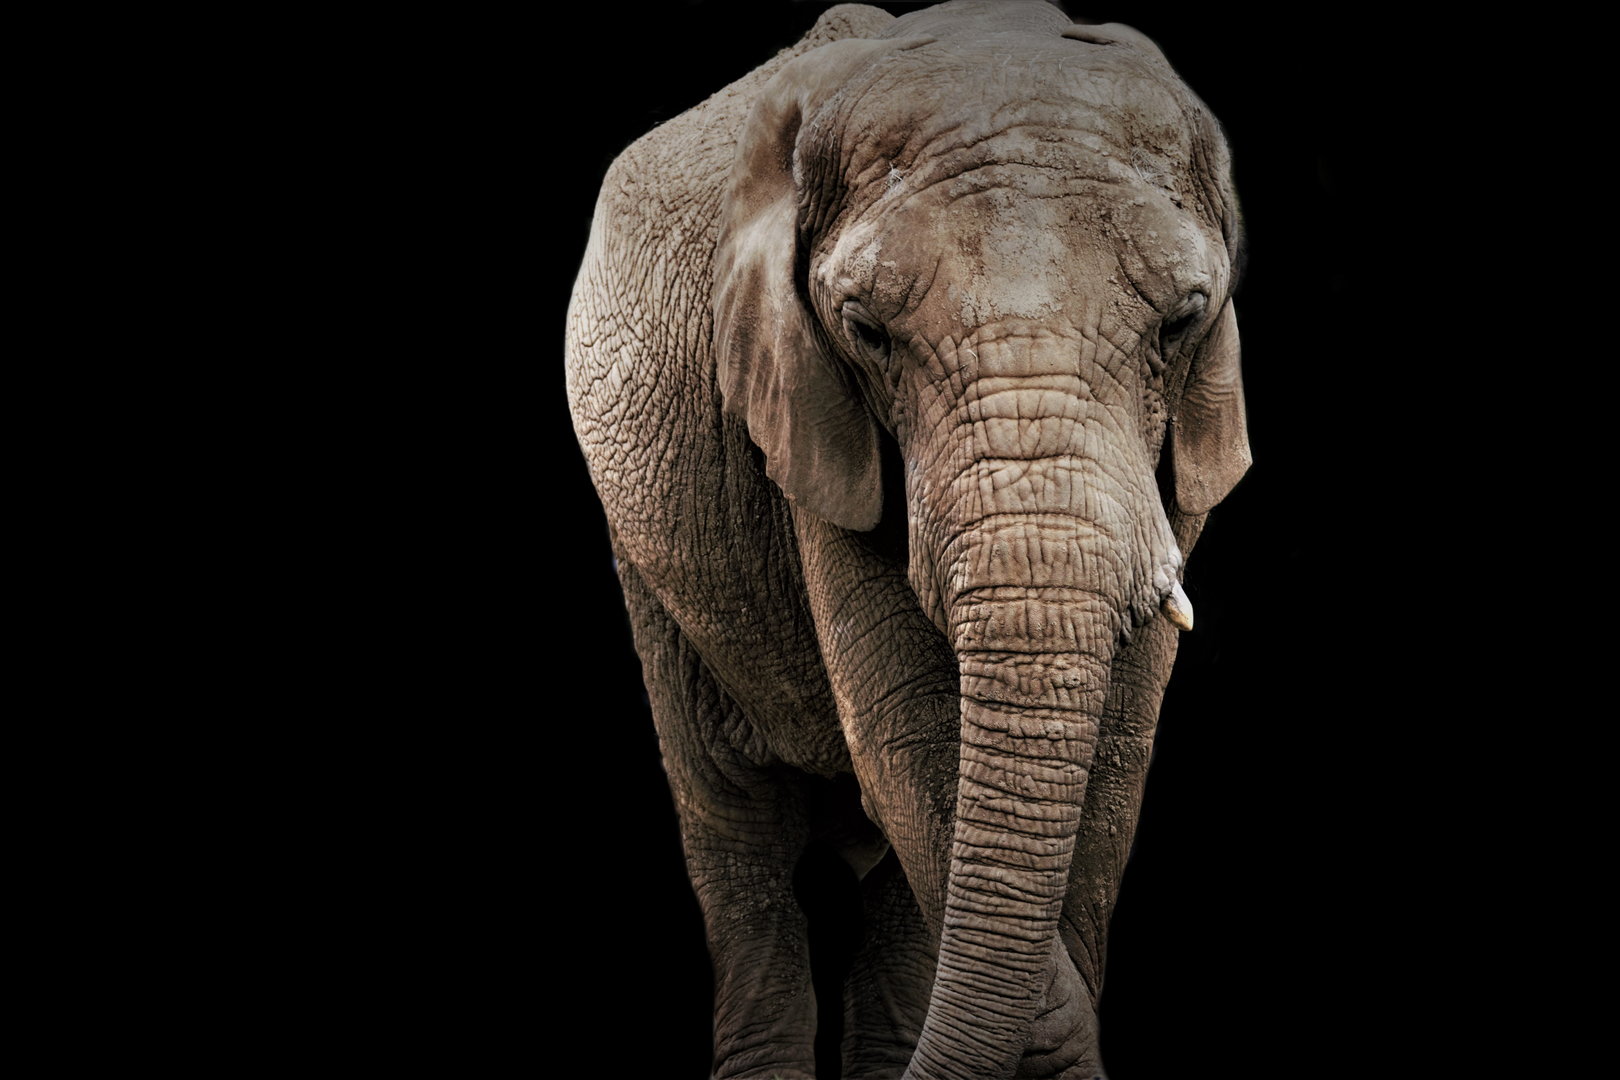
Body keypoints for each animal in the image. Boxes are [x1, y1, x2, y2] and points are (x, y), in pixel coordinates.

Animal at [564, 2, 1250, 1077]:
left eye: (1182, 322)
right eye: (867, 332)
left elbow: (1115, 768)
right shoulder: (805, 414)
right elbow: (911, 741)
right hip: (647, 547)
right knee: (732, 822)